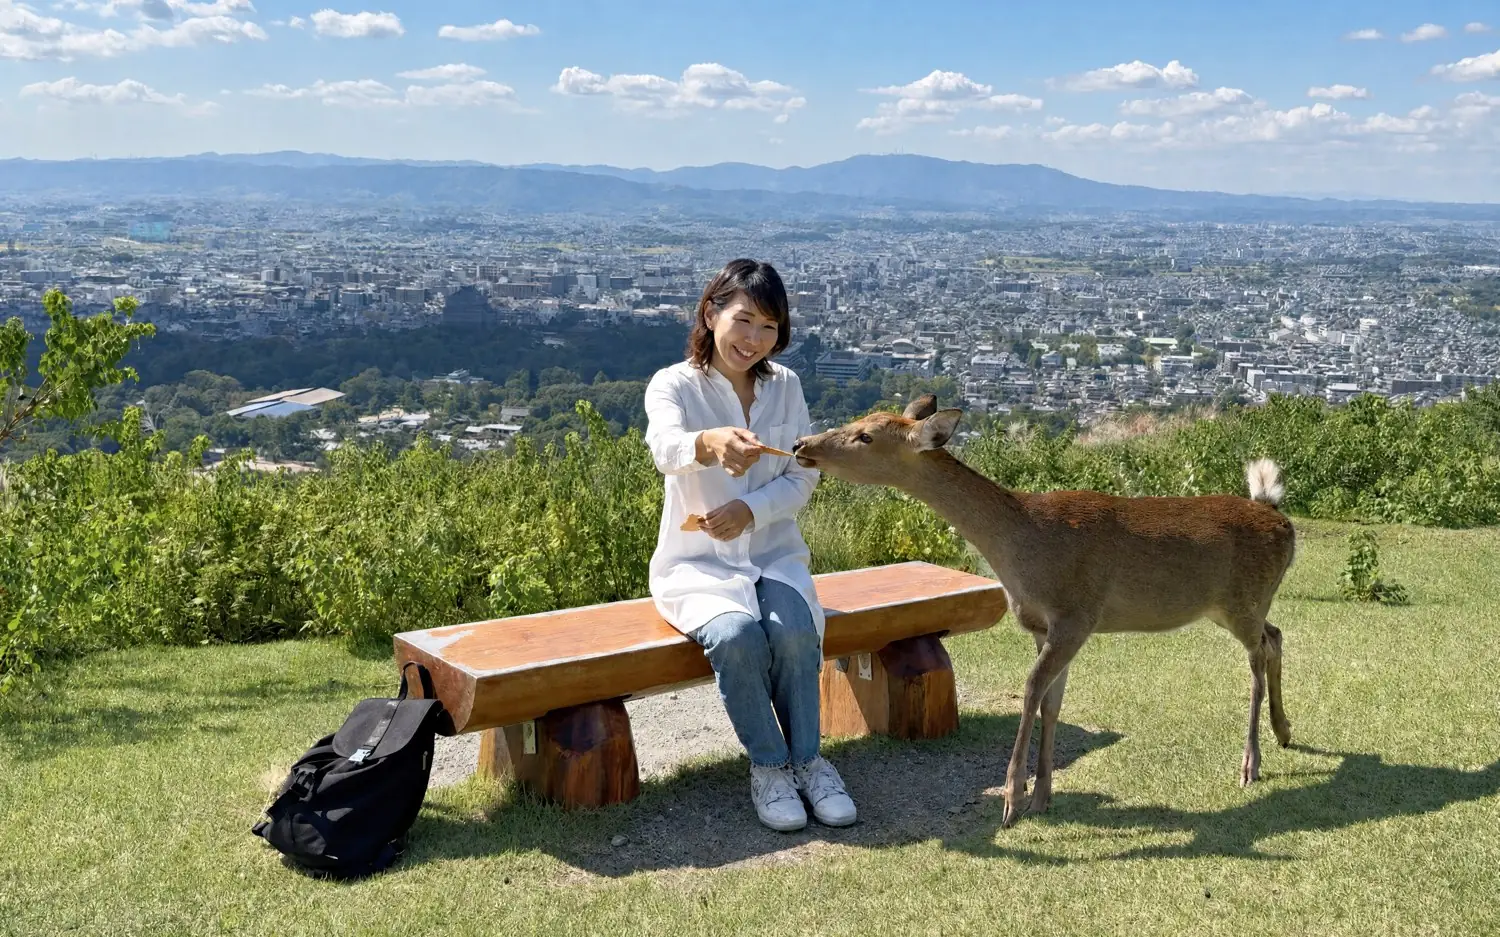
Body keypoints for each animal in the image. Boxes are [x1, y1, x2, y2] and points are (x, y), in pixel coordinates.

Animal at [791, 395, 1297, 828]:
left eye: (866, 436)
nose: (802, 445)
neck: (1024, 550)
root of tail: (1281, 519)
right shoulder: (1041, 625)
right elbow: (1051, 701)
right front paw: (1041, 797)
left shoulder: (1077, 615)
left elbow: (1032, 689)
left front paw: (1013, 800)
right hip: (1234, 606)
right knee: (1275, 636)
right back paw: (1284, 731)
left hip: (1244, 598)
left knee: (1257, 657)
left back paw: (1251, 763)